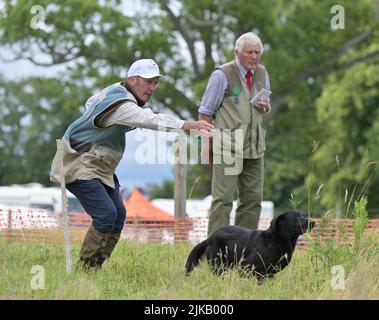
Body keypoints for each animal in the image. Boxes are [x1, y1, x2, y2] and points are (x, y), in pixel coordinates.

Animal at [186, 210, 314, 280]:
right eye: (297, 217)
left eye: (305, 215)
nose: (312, 222)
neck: (277, 241)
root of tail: (209, 238)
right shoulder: (246, 266)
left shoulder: (269, 274)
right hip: (218, 265)